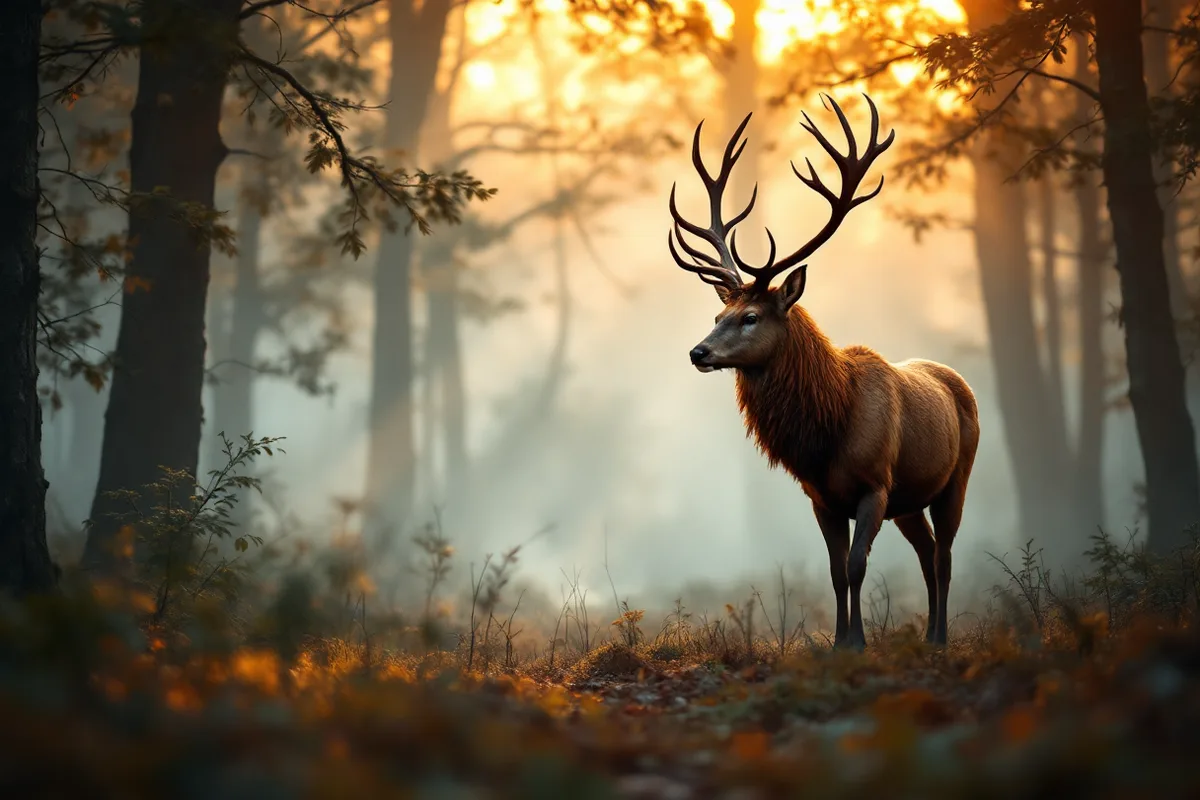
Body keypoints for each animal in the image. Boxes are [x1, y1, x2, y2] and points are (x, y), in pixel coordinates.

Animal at [667, 94, 979, 649]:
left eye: (751, 317)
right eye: (719, 316)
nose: (698, 352)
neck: (830, 431)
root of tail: (958, 380)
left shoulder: (875, 486)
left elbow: (856, 567)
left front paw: (858, 642)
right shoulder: (821, 498)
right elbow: (836, 572)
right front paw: (838, 643)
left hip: (955, 478)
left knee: (943, 555)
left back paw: (940, 637)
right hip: (910, 500)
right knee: (926, 553)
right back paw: (927, 634)